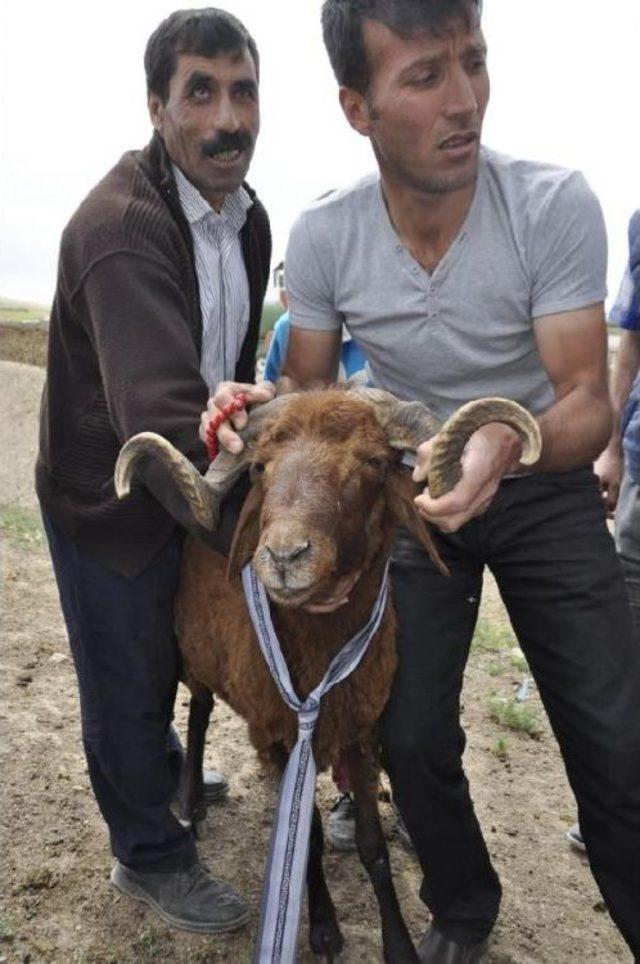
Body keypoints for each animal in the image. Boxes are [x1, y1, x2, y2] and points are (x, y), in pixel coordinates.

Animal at [114, 386, 540, 964]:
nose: (285, 555)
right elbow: (306, 837)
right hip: (194, 652)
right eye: (261, 467)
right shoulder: (279, 737)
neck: (319, 660)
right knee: (199, 713)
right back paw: (189, 804)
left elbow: (372, 849)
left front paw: (398, 945)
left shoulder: (361, 732)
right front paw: (322, 930)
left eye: (374, 462)